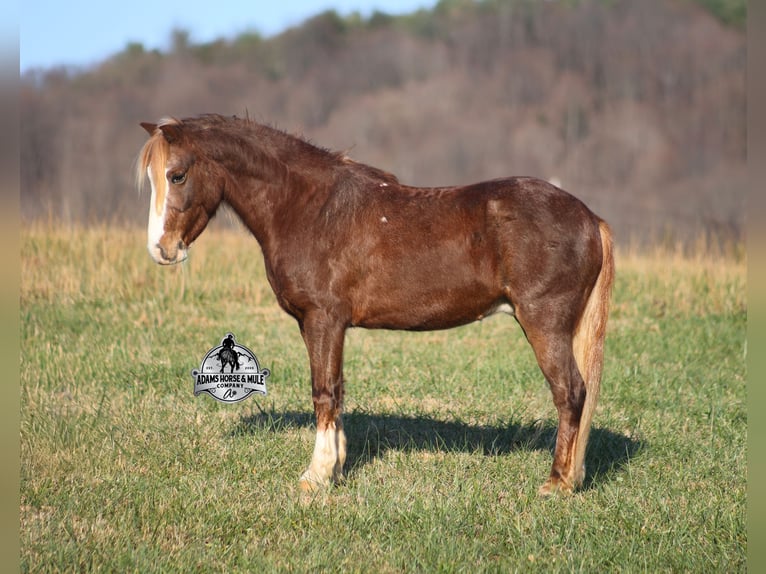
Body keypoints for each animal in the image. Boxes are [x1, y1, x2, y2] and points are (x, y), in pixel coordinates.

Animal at [136, 114, 614, 495]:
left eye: (177, 176)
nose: (161, 249)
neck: (308, 208)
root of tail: (590, 218)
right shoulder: (326, 325)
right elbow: (337, 390)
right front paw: (336, 468)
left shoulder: (323, 320)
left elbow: (323, 392)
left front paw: (316, 477)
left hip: (544, 325)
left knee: (570, 393)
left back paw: (556, 484)